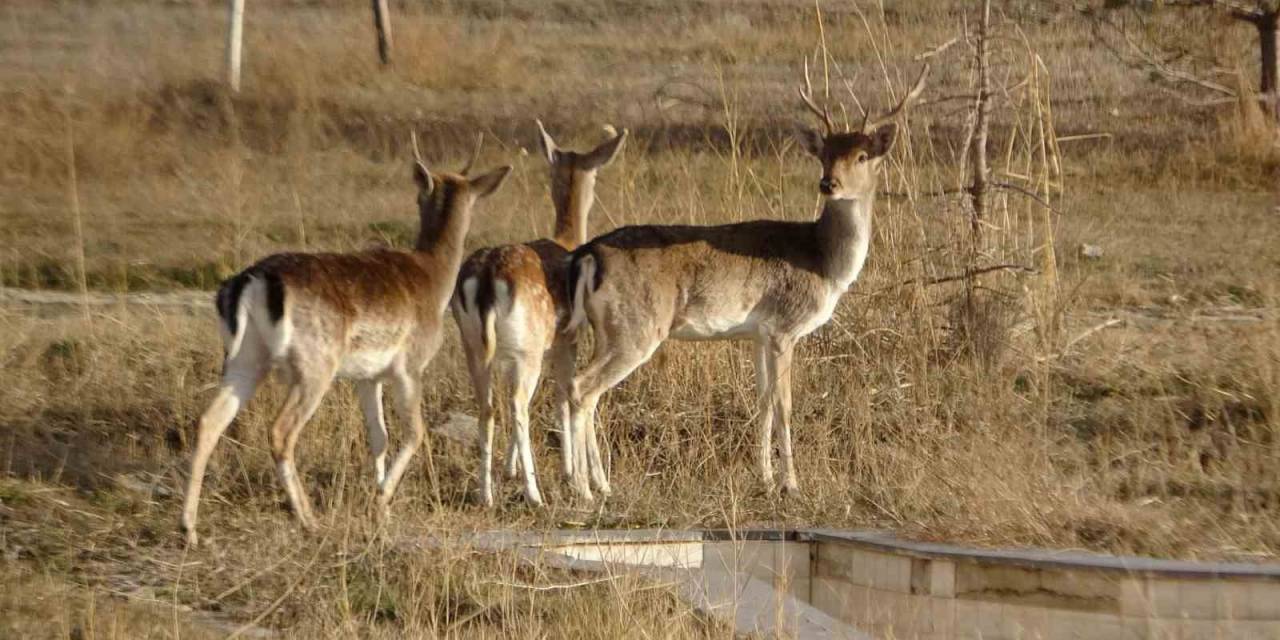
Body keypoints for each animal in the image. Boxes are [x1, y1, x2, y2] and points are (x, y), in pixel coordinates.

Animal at [180, 133, 509, 545]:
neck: (434, 279)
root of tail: (251, 282)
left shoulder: (367, 376)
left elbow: (379, 435)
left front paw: (382, 506)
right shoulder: (409, 366)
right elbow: (415, 432)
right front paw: (380, 501)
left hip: (244, 359)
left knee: (209, 420)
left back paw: (189, 528)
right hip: (314, 364)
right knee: (281, 430)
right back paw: (308, 518)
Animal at [453, 122, 627, 506]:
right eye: (596, 175)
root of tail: (486, 277)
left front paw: (509, 469)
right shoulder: (568, 339)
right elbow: (564, 396)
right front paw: (583, 477)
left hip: (474, 346)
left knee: (487, 405)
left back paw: (485, 493)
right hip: (527, 347)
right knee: (519, 403)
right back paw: (534, 494)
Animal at [560, 63, 931, 499]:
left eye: (861, 155)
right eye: (824, 154)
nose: (828, 184)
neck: (823, 263)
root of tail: (586, 255)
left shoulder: (759, 333)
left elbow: (763, 401)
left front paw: (766, 478)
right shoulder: (786, 327)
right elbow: (785, 405)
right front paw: (792, 484)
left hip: (608, 329)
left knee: (582, 389)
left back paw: (601, 484)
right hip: (637, 327)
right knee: (582, 387)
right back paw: (584, 489)